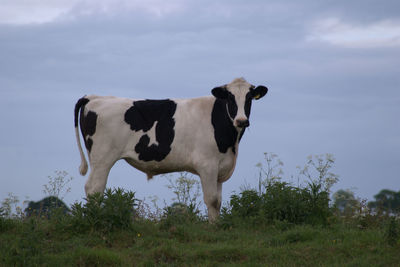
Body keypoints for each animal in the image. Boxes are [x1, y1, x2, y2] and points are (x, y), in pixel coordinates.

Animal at [75, 77, 268, 222]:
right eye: (229, 97)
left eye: (249, 98)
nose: (241, 121)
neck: (230, 144)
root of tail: (94, 97)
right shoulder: (207, 164)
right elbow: (212, 200)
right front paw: (213, 228)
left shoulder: (220, 167)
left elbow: (218, 201)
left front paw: (217, 225)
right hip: (102, 158)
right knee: (94, 189)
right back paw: (95, 219)